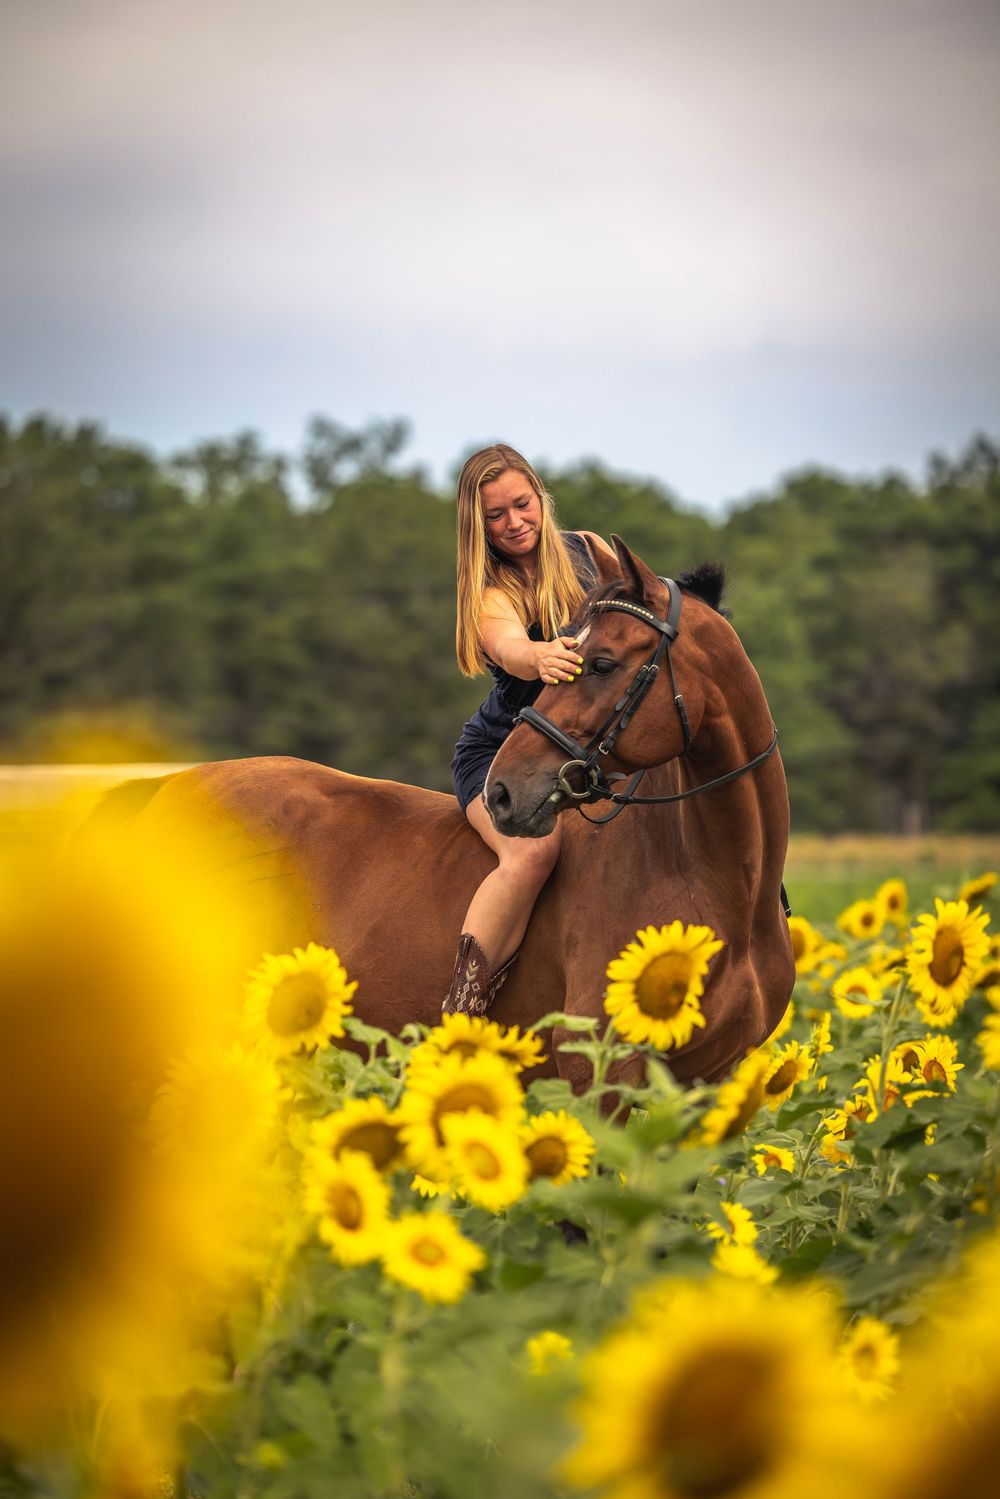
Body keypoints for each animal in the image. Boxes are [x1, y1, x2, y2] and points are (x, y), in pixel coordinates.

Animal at [86, 537, 793, 1089]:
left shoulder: (703, 1091)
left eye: (601, 663)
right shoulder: (602, 1081)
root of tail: (166, 787)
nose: (503, 792)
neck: (716, 880)